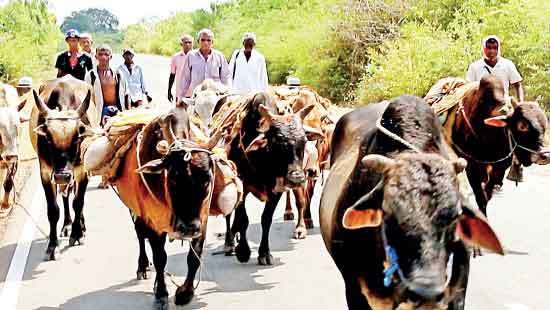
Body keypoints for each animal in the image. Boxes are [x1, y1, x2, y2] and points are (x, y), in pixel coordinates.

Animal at [30, 75, 96, 260]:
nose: (62, 176)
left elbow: (78, 202)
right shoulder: (46, 174)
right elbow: (53, 210)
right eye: (48, 138)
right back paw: (67, 224)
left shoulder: (82, 172)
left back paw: (81, 226)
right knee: (66, 196)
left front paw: (77, 233)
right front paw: (52, 245)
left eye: (77, 137)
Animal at [426, 75, 550, 216]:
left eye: (544, 123)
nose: (545, 155)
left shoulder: (500, 167)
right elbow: (481, 198)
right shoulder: (472, 166)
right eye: (522, 125)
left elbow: (488, 193)